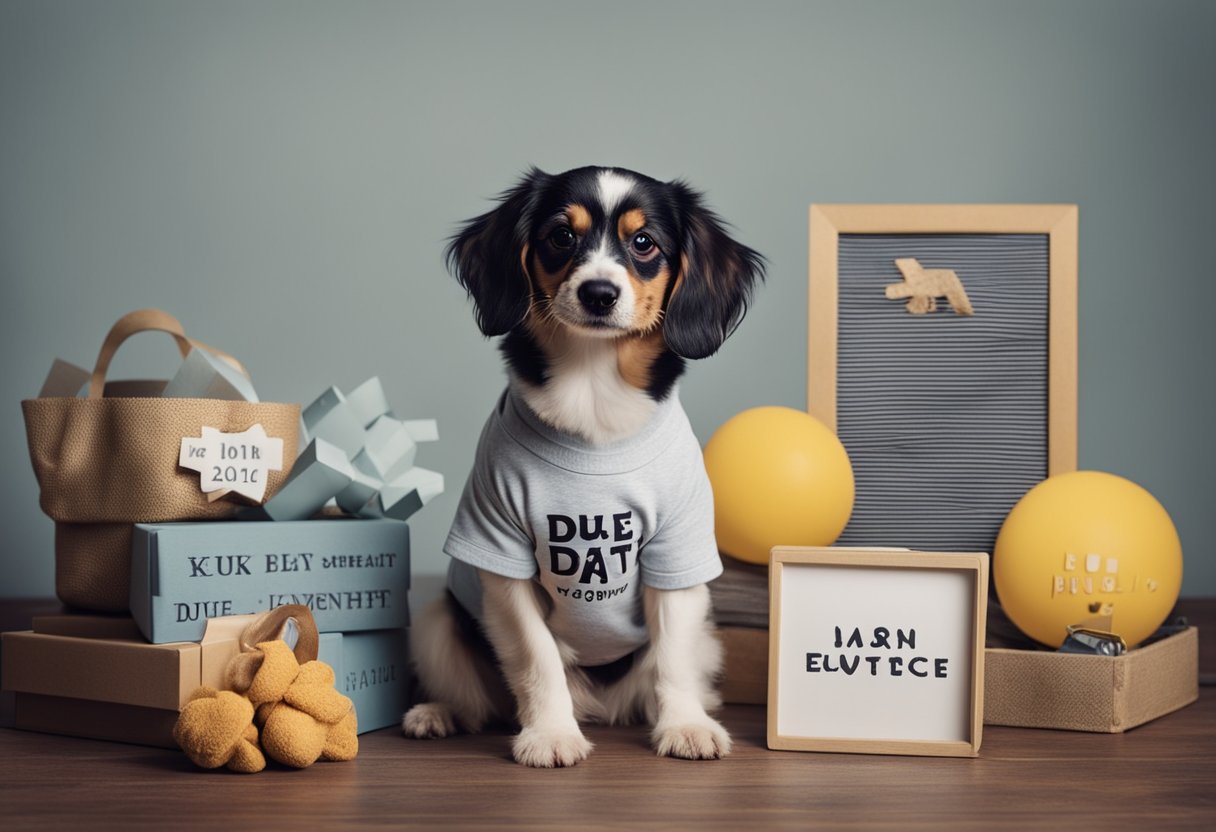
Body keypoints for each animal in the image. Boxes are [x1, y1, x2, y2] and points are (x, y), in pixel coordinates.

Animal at [403, 164, 763, 768]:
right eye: (560, 237)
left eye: (644, 243)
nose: (599, 292)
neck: (593, 396)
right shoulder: (500, 554)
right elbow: (537, 658)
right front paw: (550, 733)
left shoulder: (679, 555)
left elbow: (673, 656)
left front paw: (686, 727)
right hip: (436, 620)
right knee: (477, 700)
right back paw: (439, 714)